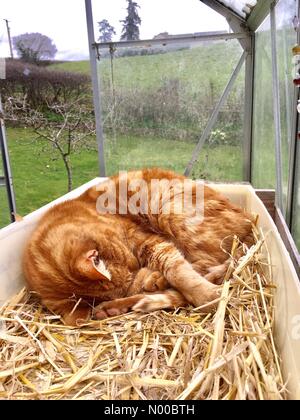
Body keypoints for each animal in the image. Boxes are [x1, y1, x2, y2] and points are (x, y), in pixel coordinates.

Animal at [22, 168, 254, 324]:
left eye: (127, 260)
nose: (138, 266)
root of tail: (250, 218)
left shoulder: (144, 240)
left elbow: (178, 271)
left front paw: (207, 296)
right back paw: (115, 307)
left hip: (167, 207)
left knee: (204, 266)